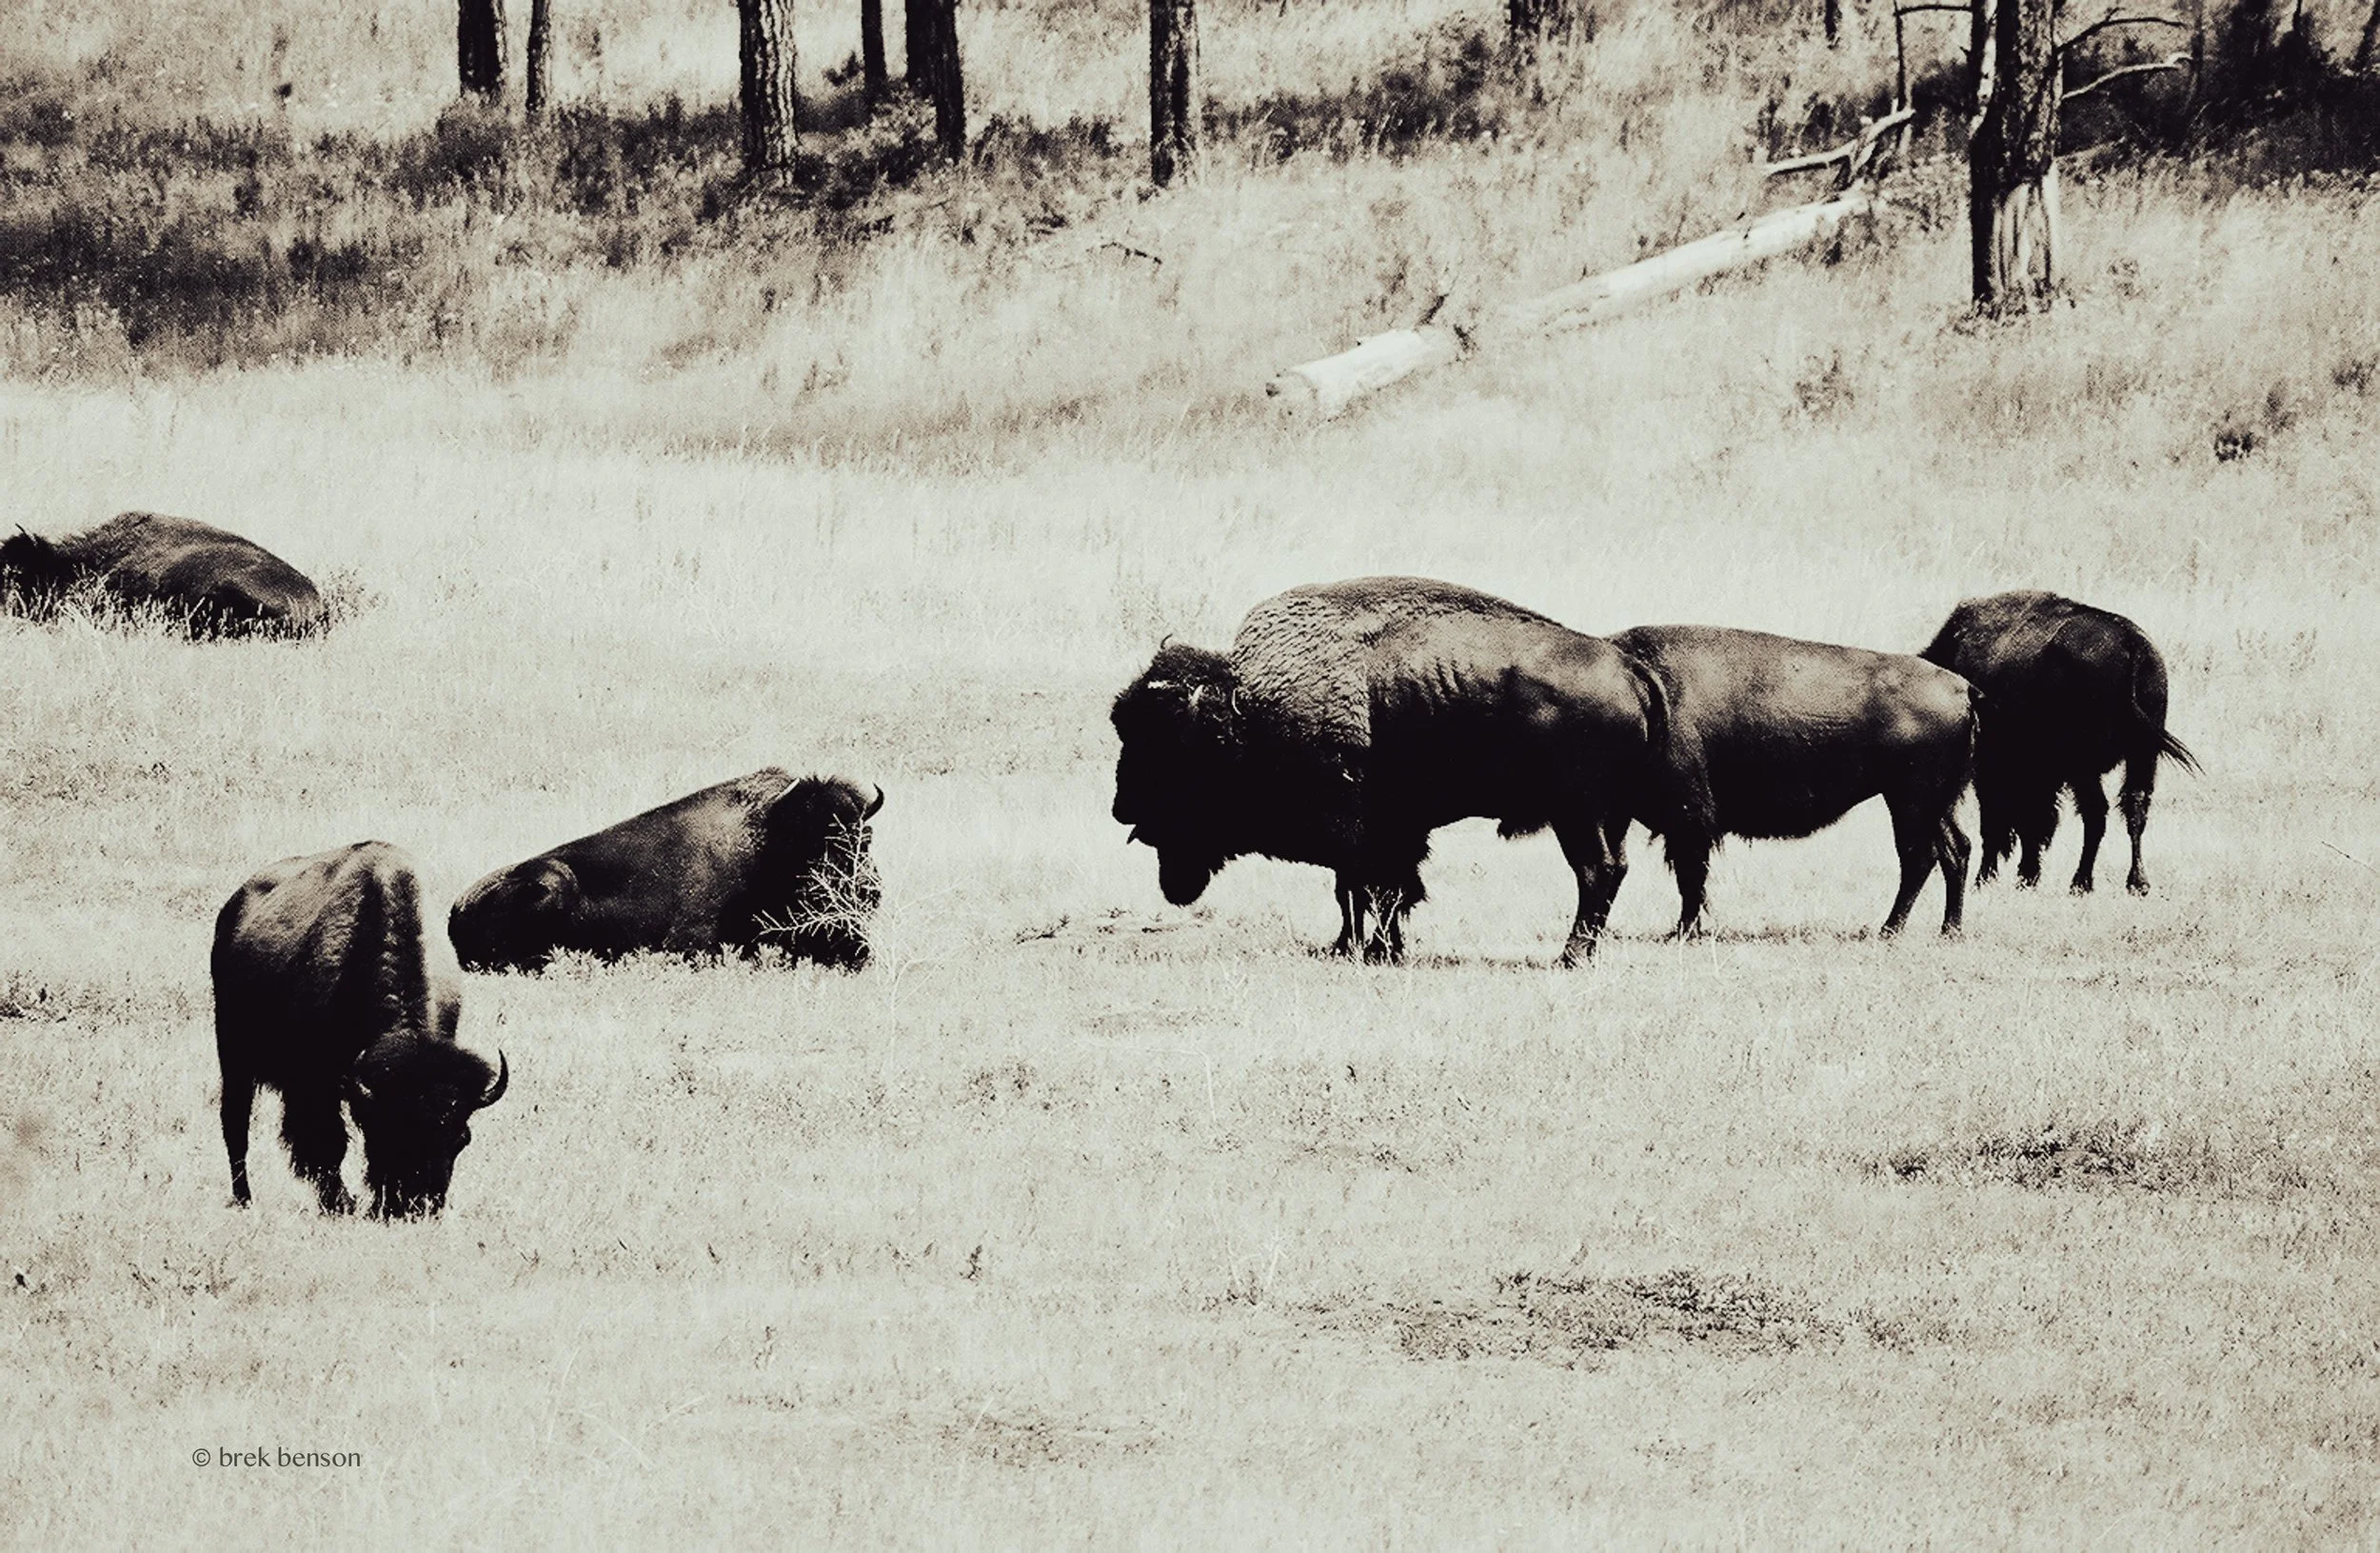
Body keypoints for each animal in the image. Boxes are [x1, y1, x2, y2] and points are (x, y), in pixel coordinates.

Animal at [213, 842, 508, 1217]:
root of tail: (234, 906)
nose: (420, 1206)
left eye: (462, 1139)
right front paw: (340, 1204)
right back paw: (245, 1198)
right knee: (235, 1125)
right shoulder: (314, 1081)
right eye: (394, 1130)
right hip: (233, 1056)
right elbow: (327, 1142)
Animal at [448, 768, 884, 973]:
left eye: (864, 837)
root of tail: (456, 909)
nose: (869, 892)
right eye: (813, 845)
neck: (768, 843)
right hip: (552, 884)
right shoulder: (690, 943)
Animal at [1111, 576, 1691, 965]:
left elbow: (1375, 890)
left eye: (1169, 748)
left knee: (1596, 871)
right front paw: (1358, 947)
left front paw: (1372, 950)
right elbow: (1363, 890)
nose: (1122, 808)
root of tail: (1627, 667)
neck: (1248, 708)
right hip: (1609, 815)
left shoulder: (1363, 829)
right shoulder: (1384, 833)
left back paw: (1570, 956)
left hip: (1578, 813)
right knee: (1613, 870)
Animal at [1609, 625, 1976, 938]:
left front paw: (1683, 931)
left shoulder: (1689, 819)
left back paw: (1890, 930)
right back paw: (1949, 930)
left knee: (1919, 857)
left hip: (1910, 801)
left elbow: (1691, 878)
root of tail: (1963, 688)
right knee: (1956, 849)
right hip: (1934, 804)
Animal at [1919, 590, 2198, 894]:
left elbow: (2004, 822)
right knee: (2133, 806)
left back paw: (2081, 882)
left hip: (2083, 766)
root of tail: (2132, 644)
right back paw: (2135, 883)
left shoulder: (1997, 769)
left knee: (2095, 812)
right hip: (2141, 754)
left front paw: (1993, 878)